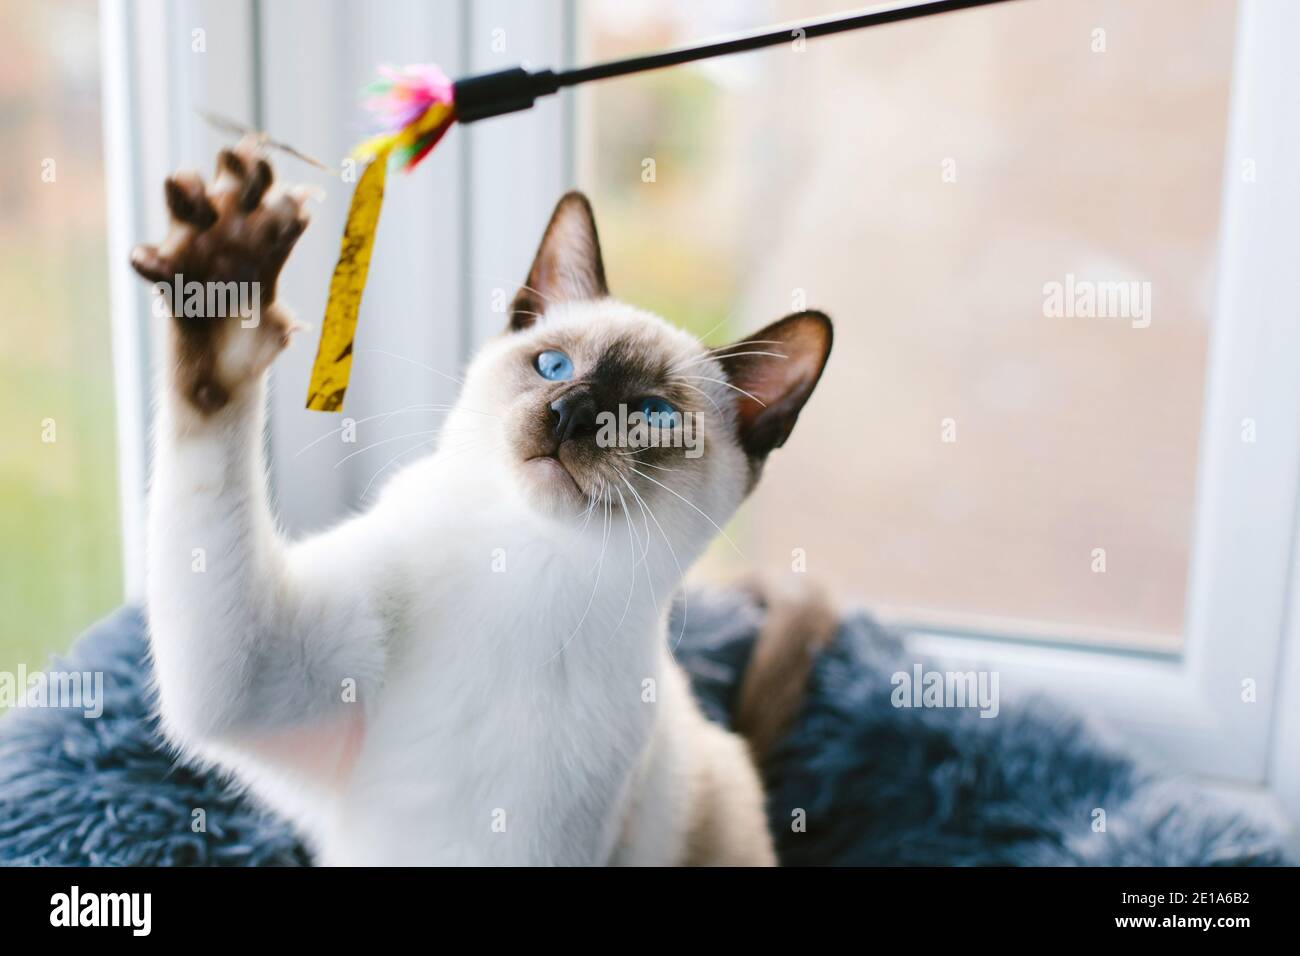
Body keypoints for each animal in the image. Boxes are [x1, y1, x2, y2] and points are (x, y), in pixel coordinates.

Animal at [131, 141, 832, 868]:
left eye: (653, 415)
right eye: (553, 367)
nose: (570, 413)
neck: (520, 570)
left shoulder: (530, 850)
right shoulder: (252, 670)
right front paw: (225, 271)